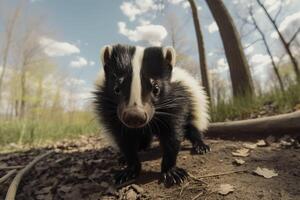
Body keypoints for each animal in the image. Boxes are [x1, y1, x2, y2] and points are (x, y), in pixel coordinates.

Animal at [95, 44, 210, 187]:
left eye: (156, 89)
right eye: (117, 89)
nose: (135, 116)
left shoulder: (176, 102)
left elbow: (172, 135)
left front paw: (172, 172)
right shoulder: (111, 112)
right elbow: (124, 140)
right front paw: (128, 170)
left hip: (192, 103)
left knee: (192, 126)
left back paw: (201, 146)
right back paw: (134, 152)